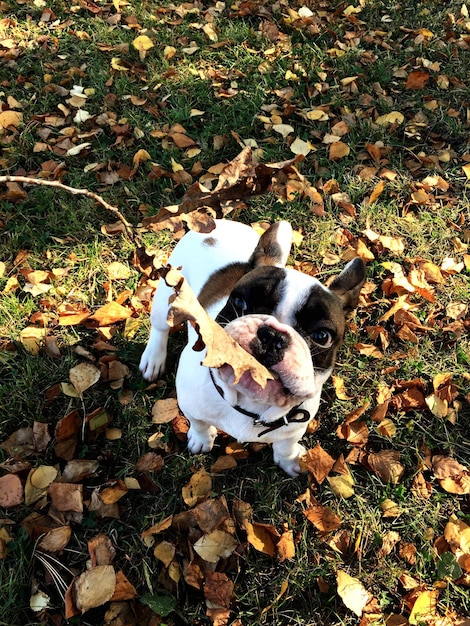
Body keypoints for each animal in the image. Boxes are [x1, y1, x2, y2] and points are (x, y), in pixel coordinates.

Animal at [138, 219, 366, 472]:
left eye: (322, 336)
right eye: (239, 301)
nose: (273, 336)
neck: (250, 405)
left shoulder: (296, 426)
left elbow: (285, 446)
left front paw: (290, 460)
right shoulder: (190, 405)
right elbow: (198, 424)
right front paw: (201, 439)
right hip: (168, 297)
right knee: (160, 327)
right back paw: (153, 359)